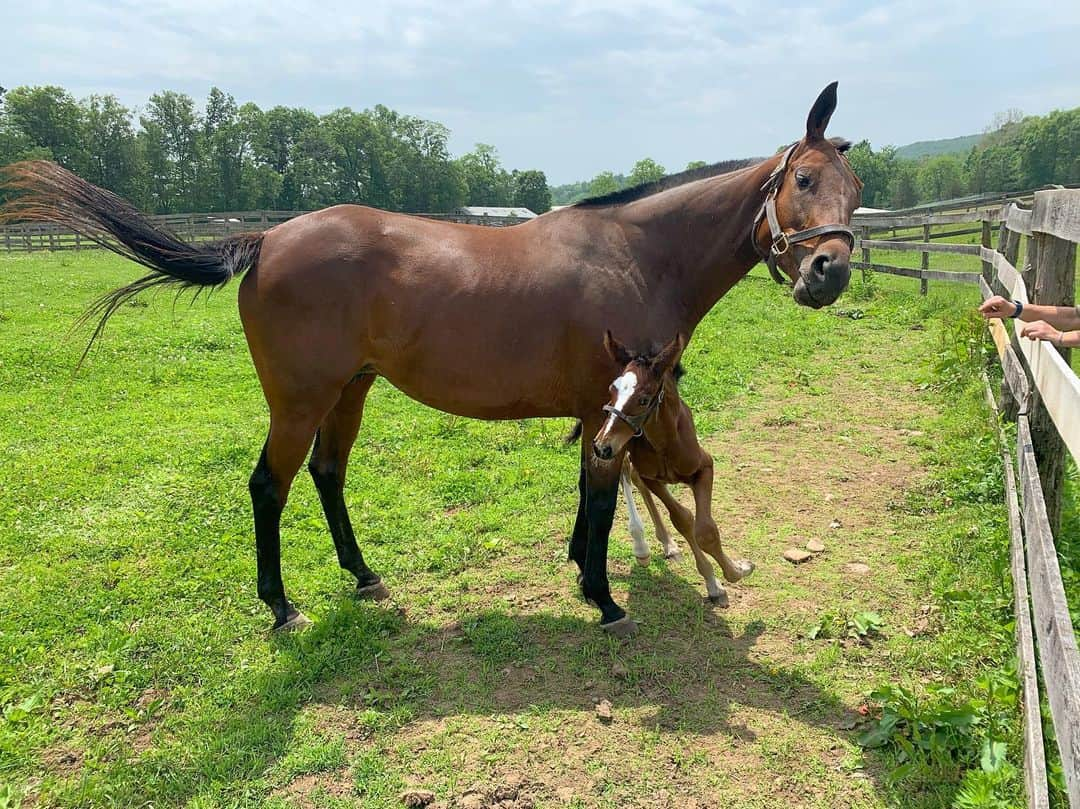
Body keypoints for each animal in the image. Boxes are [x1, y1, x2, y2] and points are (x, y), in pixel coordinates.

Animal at [596, 330, 756, 604]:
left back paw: (666, 545)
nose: (601, 445)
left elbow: (705, 529)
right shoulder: (652, 476)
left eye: (644, 399)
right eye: (611, 390)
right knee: (628, 473)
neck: (666, 444)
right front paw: (720, 578)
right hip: (622, 448)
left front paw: (734, 571)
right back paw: (642, 547)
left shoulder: (704, 466)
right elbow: (683, 518)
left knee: (633, 476)